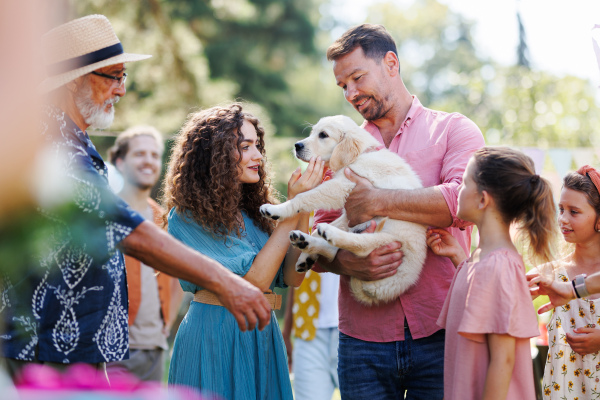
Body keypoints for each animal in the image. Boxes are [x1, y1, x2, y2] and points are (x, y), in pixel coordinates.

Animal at [260, 115, 428, 306]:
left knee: (361, 246)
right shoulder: (349, 211)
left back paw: (328, 234)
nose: (297, 145)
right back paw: (305, 248)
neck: (361, 154)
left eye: (323, 135)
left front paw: (277, 209)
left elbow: (303, 197)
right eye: (313, 132)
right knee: (331, 249)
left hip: (389, 239)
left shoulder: (343, 186)